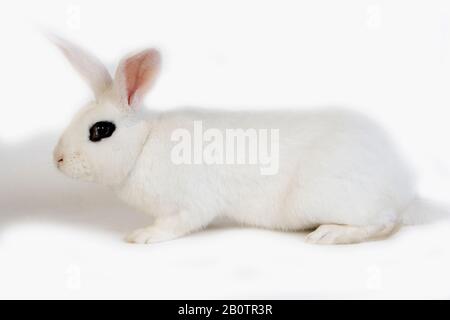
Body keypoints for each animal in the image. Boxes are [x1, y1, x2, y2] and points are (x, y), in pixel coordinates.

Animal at [51, 35, 424, 245]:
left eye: (101, 130)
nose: (57, 159)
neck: (143, 145)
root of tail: (401, 186)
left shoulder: (191, 204)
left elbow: (175, 224)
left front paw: (141, 236)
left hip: (324, 197)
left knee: (383, 223)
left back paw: (329, 234)